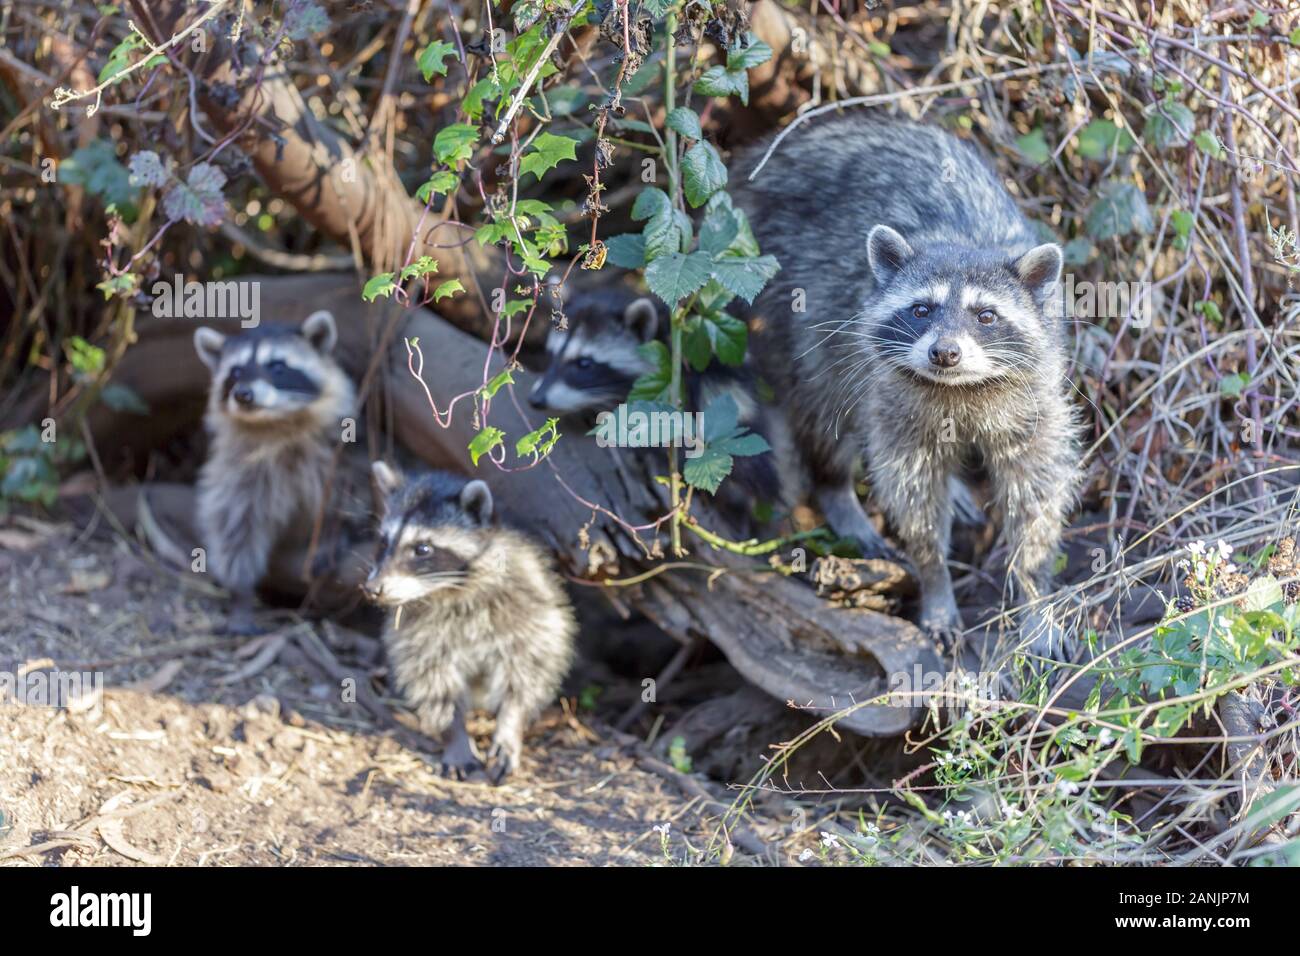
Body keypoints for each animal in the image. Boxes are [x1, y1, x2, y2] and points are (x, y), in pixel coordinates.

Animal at [192, 310, 356, 632]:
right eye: (235, 373)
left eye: (278, 367)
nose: (243, 394)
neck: (276, 424)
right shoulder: (239, 469)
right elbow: (235, 525)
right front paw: (240, 593)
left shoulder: (339, 451)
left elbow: (346, 492)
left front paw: (332, 531)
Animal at [361, 463, 574, 785]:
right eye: (384, 541)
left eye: (423, 549)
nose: (372, 588)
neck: (450, 589)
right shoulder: (418, 631)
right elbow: (432, 680)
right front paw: (455, 735)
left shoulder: (526, 601)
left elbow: (526, 668)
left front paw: (510, 724)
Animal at [738, 111, 1081, 650]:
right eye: (921, 309)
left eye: (986, 315)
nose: (945, 353)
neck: (960, 388)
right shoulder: (892, 396)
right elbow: (912, 495)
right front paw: (935, 579)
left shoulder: (1034, 396)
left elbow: (1037, 494)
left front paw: (1033, 590)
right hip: (788, 301)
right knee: (822, 403)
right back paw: (836, 489)